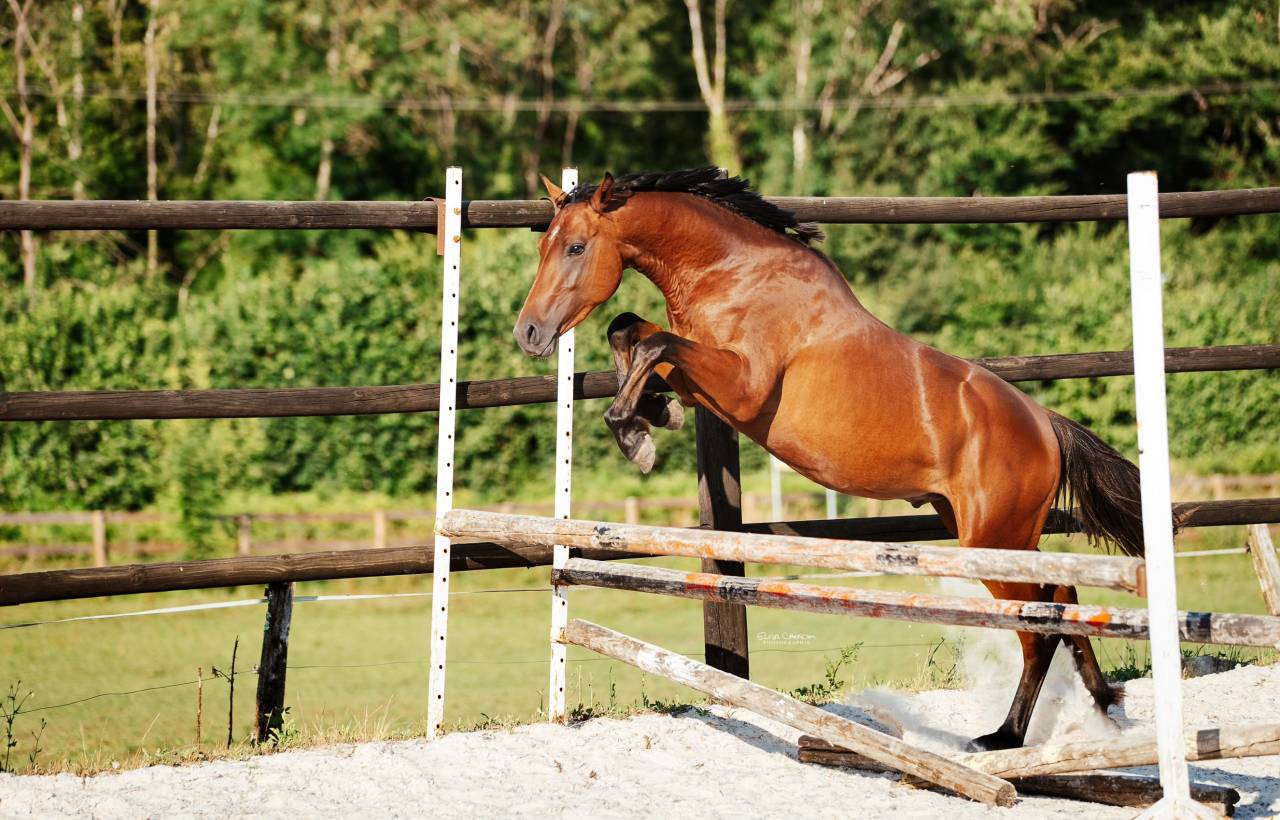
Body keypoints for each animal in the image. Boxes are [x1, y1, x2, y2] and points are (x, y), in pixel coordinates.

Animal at [513, 166, 1146, 752]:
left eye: (576, 248)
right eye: (544, 247)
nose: (529, 333)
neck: (731, 273)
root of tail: (1046, 424)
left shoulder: (741, 387)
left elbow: (652, 342)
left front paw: (632, 431)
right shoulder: (704, 383)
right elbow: (631, 331)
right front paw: (652, 414)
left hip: (991, 540)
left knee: (1038, 630)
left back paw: (1004, 738)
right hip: (998, 533)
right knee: (1062, 601)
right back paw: (1101, 704)